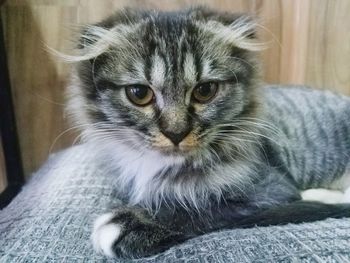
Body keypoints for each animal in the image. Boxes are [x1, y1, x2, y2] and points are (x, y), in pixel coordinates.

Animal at [63, 6, 350, 260]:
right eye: (139, 94)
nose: (176, 133)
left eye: (205, 91)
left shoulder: (270, 190)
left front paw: (131, 222)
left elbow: (199, 206)